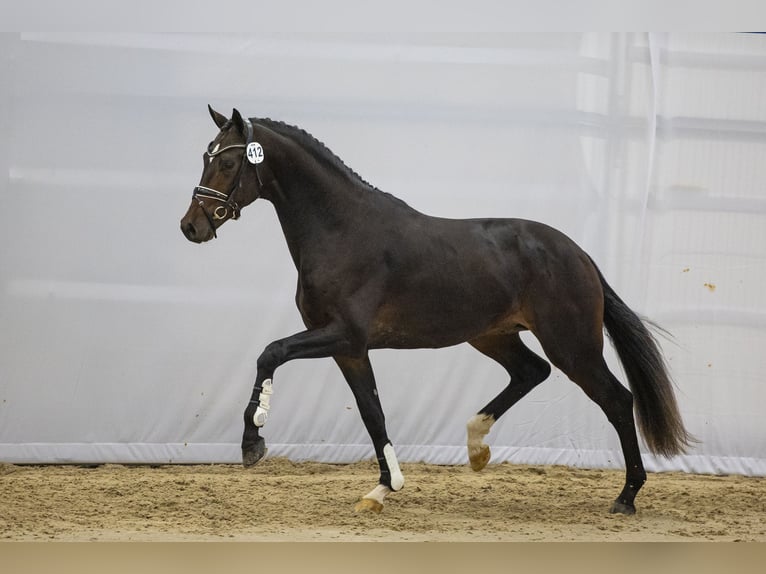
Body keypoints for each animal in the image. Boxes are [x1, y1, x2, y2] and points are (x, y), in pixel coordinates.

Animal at [180, 107, 696, 516]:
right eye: (206, 156)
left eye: (228, 161)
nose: (191, 226)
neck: (342, 230)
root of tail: (580, 255)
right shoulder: (350, 350)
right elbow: (372, 413)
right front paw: (382, 490)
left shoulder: (342, 334)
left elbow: (270, 352)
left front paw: (253, 442)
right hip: (493, 335)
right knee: (532, 371)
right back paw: (477, 447)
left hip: (573, 346)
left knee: (617, 400)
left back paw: (626, 497)